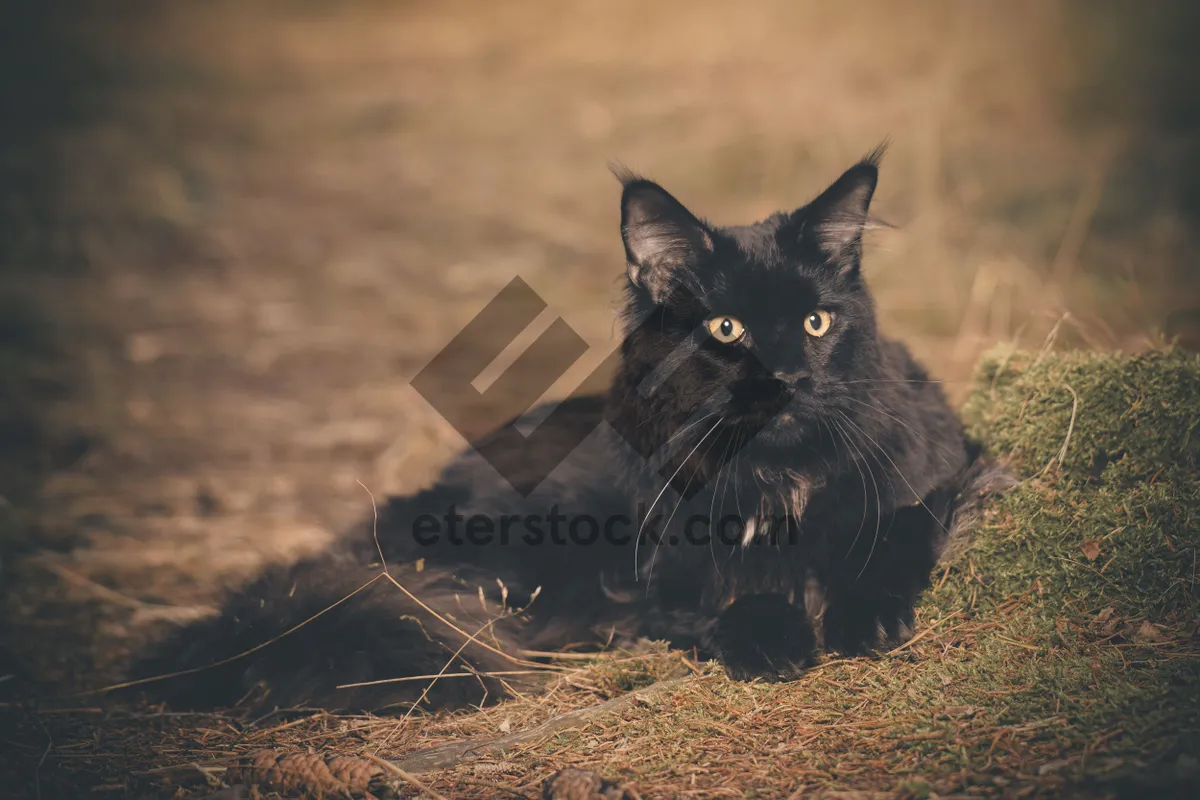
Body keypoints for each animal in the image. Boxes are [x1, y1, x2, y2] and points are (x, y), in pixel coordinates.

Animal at [131, 149, 998, 714]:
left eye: (818, 322)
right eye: (725, 328)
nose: (786, 379)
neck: (774, 478)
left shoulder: (947, 470)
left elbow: (891, 537)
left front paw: (863, 620)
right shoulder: (667, 580)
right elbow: (734, 600)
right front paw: (773, 640)